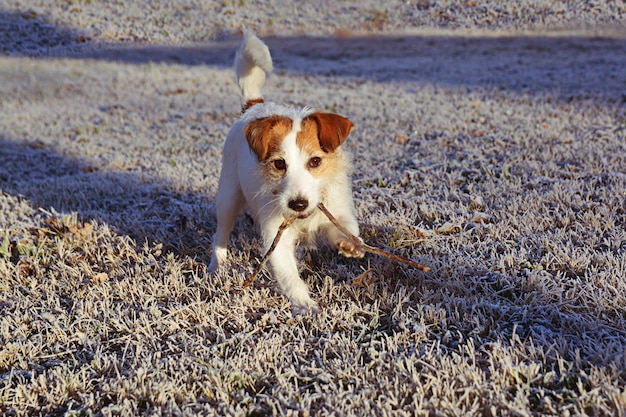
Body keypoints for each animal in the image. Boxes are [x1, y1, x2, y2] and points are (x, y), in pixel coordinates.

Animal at [208, 29, 360, 314]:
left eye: (315, 162)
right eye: (280, 164)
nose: (298, 204)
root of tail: (254, 105)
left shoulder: (335, 209)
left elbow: (344, 226)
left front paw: (349, 242)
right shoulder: (276, 234)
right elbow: (289, 275)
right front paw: (306, 305)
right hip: (228, 196)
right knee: (220, 233)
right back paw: (217, 266)